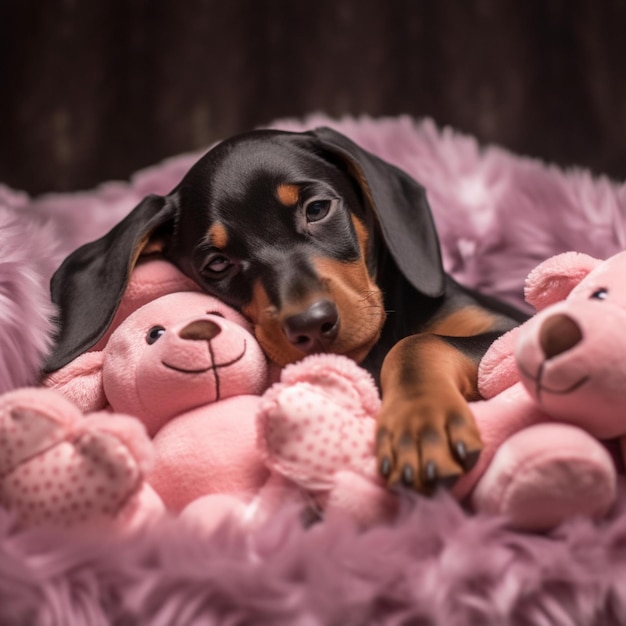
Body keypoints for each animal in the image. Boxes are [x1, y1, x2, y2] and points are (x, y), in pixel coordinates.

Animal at [42, 127, 528, 492]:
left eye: (317, 209)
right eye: (217, 264)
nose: (311, 325)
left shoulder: (512, 330)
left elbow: (417, 342)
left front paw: (421, 425)